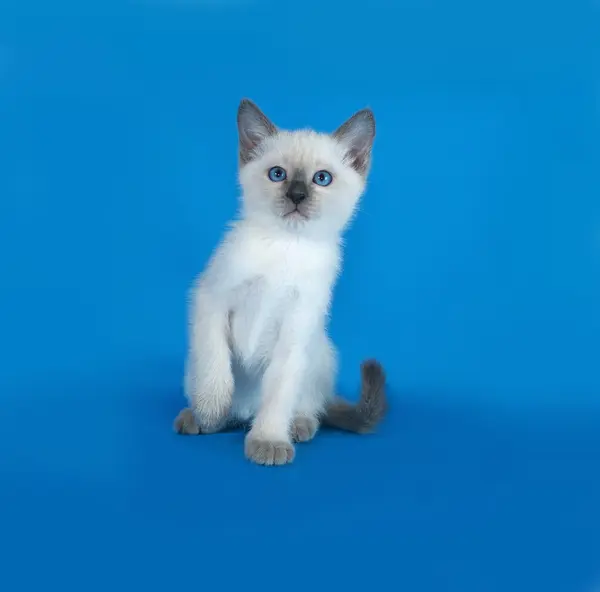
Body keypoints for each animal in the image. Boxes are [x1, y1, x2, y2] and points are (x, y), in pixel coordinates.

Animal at [175, 99, 390, 464]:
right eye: (278, 174)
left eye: (322, 179)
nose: (297, 195)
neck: (286, 245)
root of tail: (246, 412)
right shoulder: (210, 297)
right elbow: (215, 362)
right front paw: (211, 406)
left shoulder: (296, 328)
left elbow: (278, 392)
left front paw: (269, 441)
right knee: (223, 401)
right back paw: (200, 419)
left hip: (321, 352)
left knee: (309, 407)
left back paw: (297, 427)